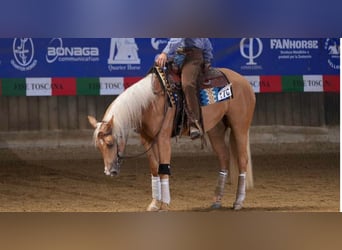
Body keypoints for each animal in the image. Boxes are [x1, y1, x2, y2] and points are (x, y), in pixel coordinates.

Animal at [89, 66, 256, 211]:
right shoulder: (147, 139)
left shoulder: (163, 138)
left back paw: (238, 201)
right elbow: (154, 168)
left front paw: (165, 205)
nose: (109, 171)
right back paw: (217, 201)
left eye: (110, 143)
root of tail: (244, 81)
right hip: (216, 129)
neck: (150, 102)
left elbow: (164, 169)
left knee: (242, 160)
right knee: (224, 158)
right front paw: (154, 203)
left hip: (240, 126)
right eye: (98, 147)